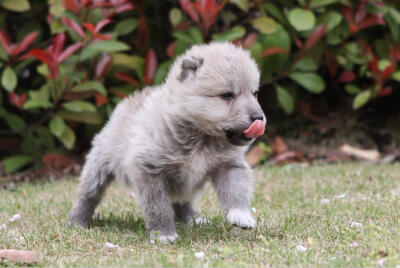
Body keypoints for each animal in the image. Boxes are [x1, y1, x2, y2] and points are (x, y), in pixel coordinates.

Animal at [68, 42, 268, 243]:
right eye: (226, 95)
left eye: (254, 93)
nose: (259, 118)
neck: (201, 136)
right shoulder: (149, 170)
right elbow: (159, 207)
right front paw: (164, 234)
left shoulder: (228, 166)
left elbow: (236, 192)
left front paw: (241, 215)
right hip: (99, 166)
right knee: (88, 195)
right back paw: (77, 221)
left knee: (182, 201)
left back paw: (193, 219)